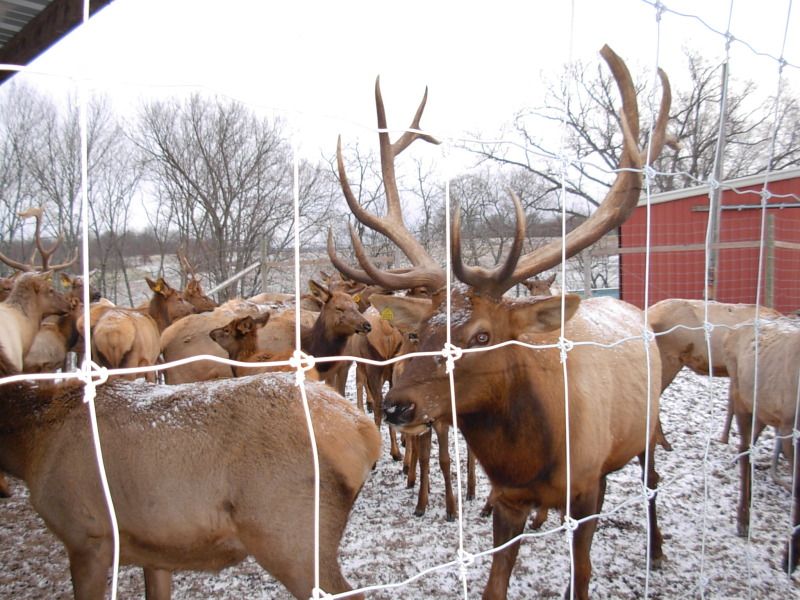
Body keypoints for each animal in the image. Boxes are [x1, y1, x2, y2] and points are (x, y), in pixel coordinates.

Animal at [329, 45, 672, 599]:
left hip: (648, 426)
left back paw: (657, 549)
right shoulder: (508, 496)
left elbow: (582, 575)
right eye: (419, 332)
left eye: (481, 335)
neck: (537, 455)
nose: (397, 406)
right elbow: (495, 582)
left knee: (653, 482)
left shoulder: (587, 488)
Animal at [723, 318, 800, 574]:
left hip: (762, 410)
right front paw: (789, 558)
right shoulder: (789, 428)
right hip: (741, 397)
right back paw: (742, 520)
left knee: (750, 448)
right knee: (744, 451)